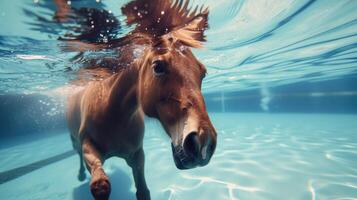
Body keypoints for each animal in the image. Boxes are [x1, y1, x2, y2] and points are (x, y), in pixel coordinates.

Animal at [62, 0, 217, 200]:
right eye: (158, 67)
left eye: (202, 72)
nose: (204, 142)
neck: (113, 112)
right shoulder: (89, 147)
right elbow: (100, 186)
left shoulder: (137, 156)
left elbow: (143, 191)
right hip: (75, 140)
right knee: (78, 154)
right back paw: (80, 175)